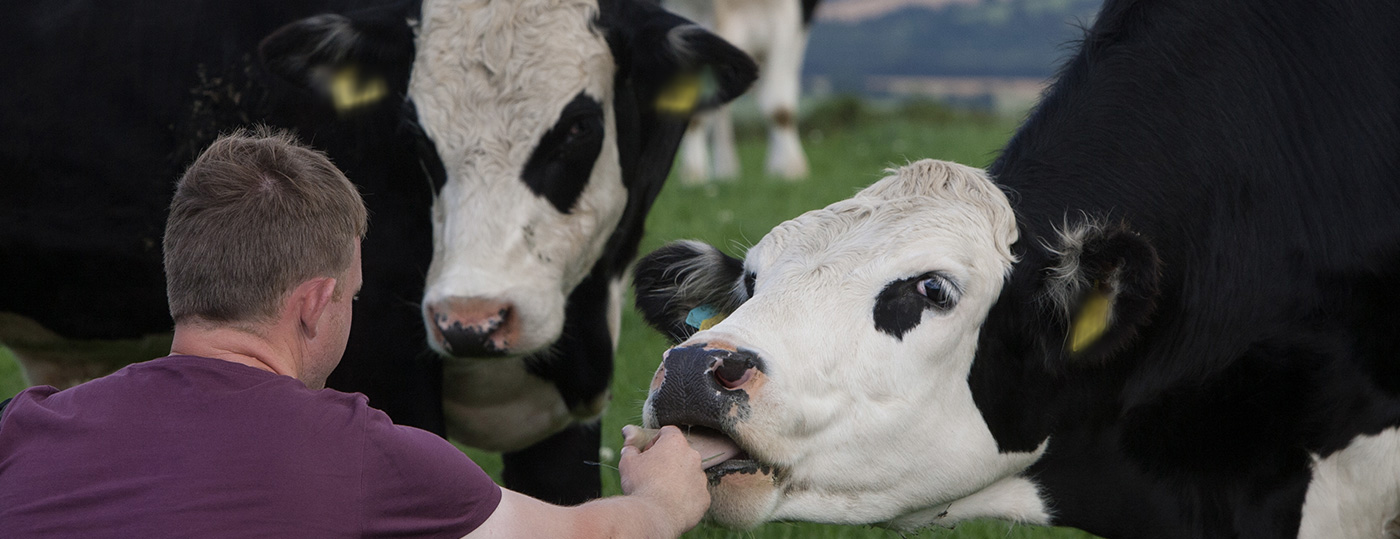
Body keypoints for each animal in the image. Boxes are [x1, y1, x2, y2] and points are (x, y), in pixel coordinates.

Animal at [663, 0, 817, 182]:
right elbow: (693, 113)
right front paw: (693, 173)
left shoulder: (784, 22)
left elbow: (779, 109)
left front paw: (791, 168)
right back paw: (726, 169)